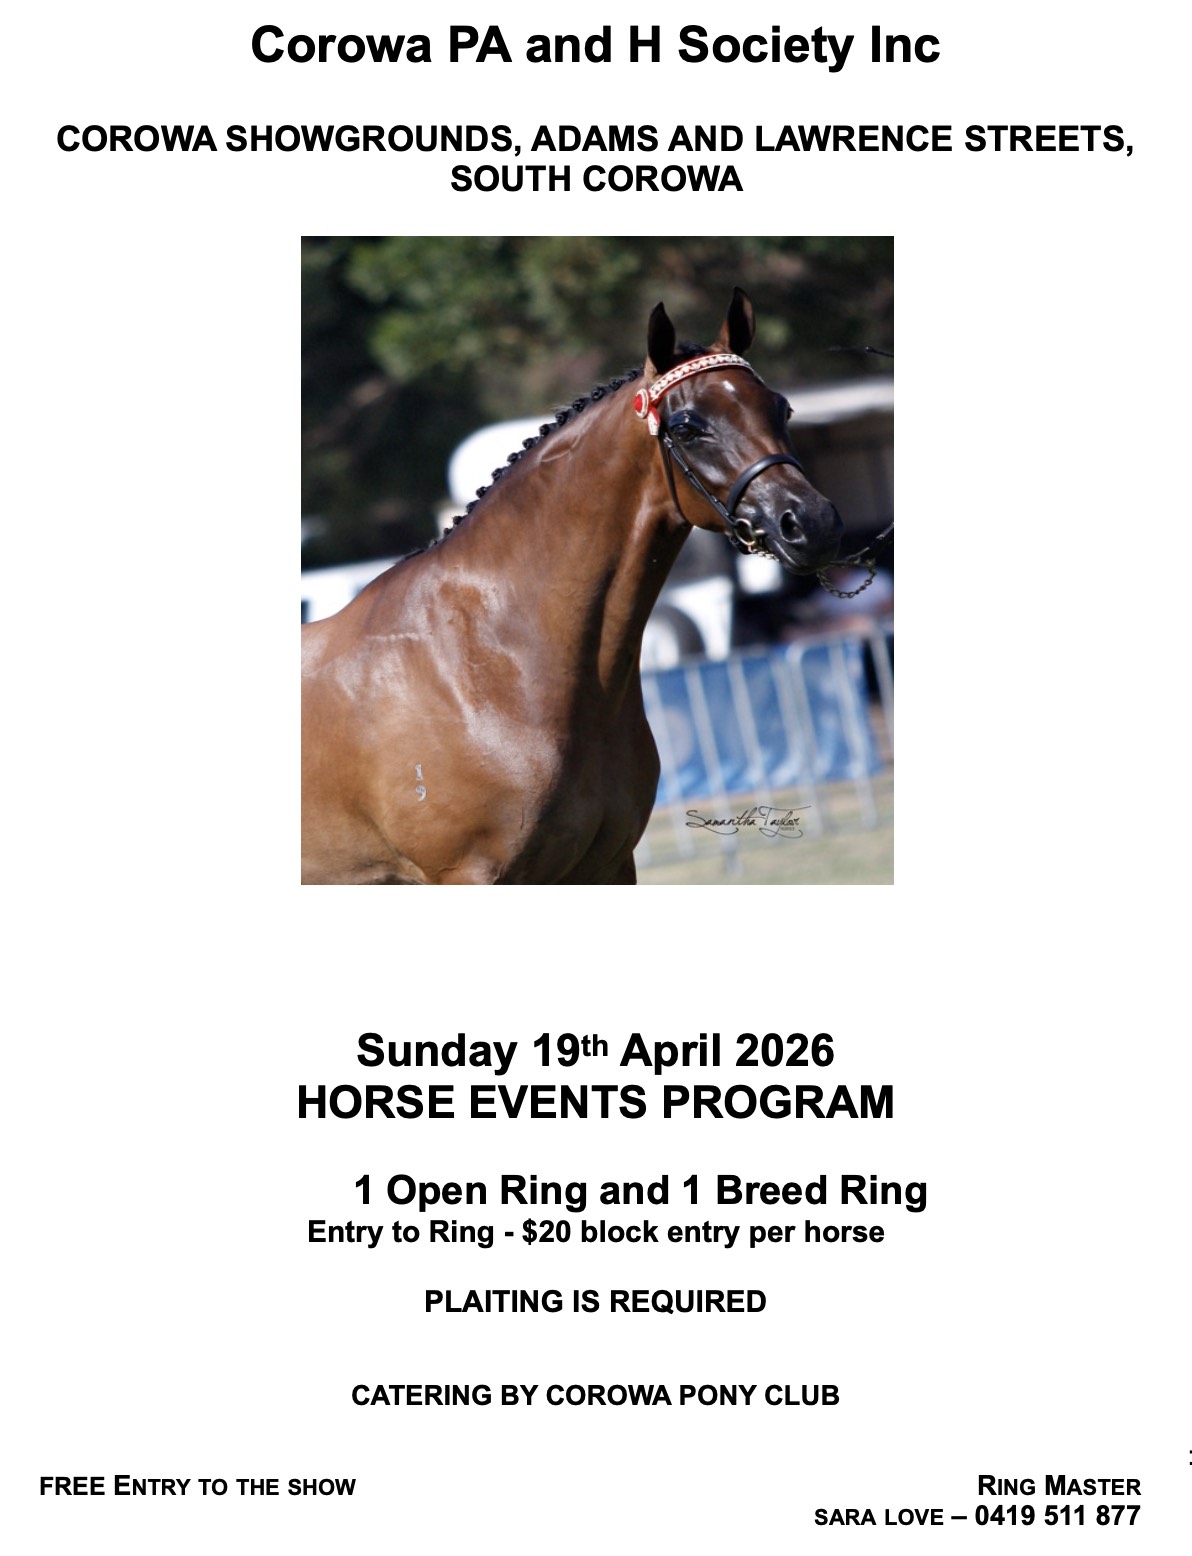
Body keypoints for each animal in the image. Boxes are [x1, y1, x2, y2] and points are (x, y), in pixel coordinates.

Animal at [302, 288, 844, 884]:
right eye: (685, 427)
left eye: (781, 408)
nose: (812, 523)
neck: (486, 661)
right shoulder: (468, 873)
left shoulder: (606, 864)